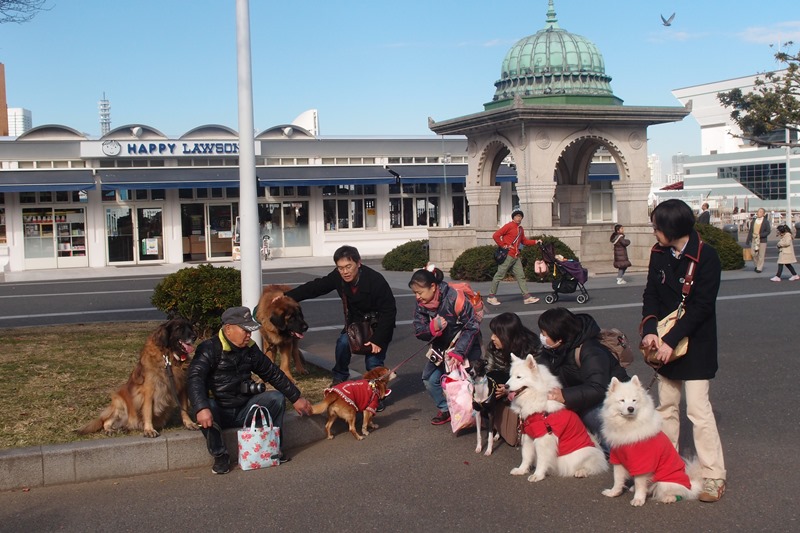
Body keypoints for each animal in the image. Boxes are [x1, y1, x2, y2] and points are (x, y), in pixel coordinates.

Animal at [506, 354, 608, 482]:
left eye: (519, 377)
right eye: (510, 376)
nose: (505, 386)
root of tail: (597, 447)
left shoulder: (544, 438)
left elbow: (542, 459)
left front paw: (537, 475)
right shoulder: (528, 435)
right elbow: (526, 455)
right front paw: (521, 470)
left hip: (583, 454)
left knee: (593, 466)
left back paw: (581, 472)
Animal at [600, 376, 700, 504]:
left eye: (634, 400)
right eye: (622, 400)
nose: (631, 408)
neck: (629, 426)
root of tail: (690, 485)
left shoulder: (643, 462)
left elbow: (640, 483)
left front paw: (638, 500)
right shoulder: (617, 458)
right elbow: (617, 479)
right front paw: (613, 493)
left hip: (665, 482)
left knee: (677, 492)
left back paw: (668, 498)